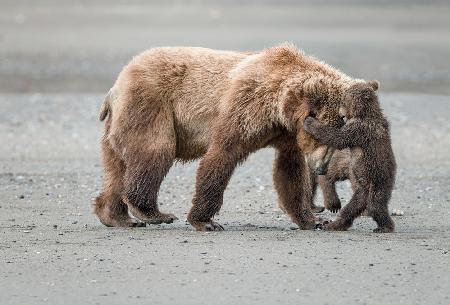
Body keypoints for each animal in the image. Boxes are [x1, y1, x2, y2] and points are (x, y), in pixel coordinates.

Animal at [94, 42, 366, 228]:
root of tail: (115, 87)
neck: (280, 107)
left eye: (337, 142)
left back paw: (116, 216)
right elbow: (223, 152)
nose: (321, 168)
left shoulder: (286, 134)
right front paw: (206, 221)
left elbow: (290, 171)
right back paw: (153, 213)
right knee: (155, 150)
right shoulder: (248, 103)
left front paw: (311, 219)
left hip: (118, 125)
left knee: (117, 168)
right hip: (150, 103)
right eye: (322, 137)